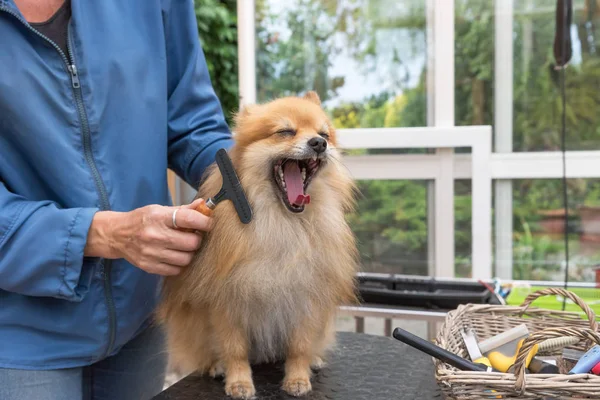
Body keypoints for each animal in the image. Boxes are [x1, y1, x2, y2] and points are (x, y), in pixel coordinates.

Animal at [157, 91, 358, 400]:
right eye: (285, 132)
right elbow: (234, 349)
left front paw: (297, 377)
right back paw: (216, 365)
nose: (318, 144)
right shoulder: (226, 302)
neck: (283, 223)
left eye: (324, 134)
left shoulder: (306, 297)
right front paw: (239, 382)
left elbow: (299, 345)